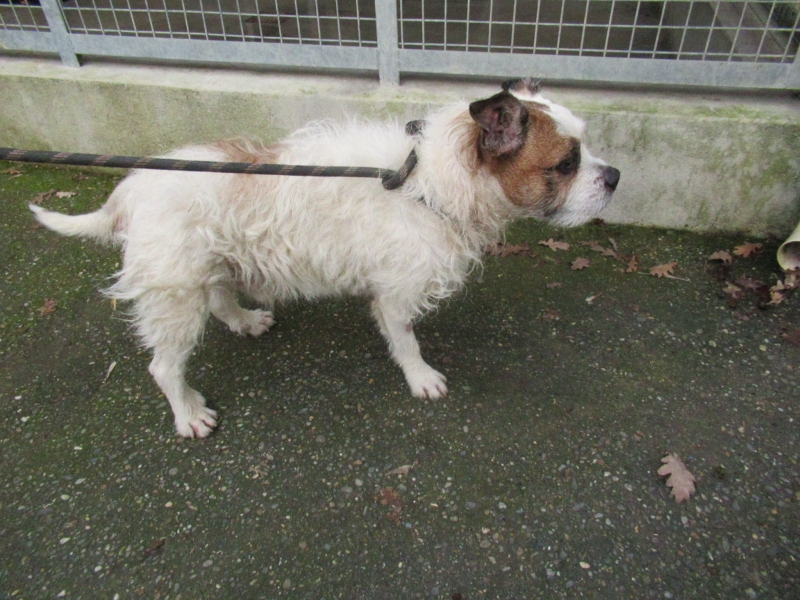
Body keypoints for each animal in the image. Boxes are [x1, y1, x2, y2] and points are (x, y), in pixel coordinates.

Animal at [31, 78, 620, 439]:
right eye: (566, 163)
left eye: (587, 149)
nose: (614, 176)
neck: (428, 182)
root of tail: (129, 191)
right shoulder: (396, 293)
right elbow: (405, 340)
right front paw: (421, 377)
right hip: (176, 296)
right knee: (163, 367)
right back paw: (188, 413)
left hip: (205, 269)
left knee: (220, 299)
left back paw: (244, 320)